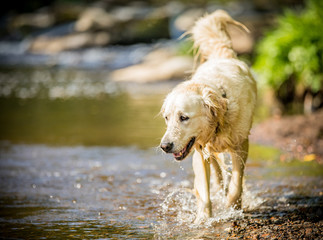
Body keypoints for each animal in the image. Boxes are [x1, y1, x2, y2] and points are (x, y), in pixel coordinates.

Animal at [161, 9, 256, 223]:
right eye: (167, 118)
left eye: (184, 117)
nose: (164, 146)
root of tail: (222, 54)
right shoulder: (198, 151)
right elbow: (204, 191)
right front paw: (203, 219)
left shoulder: (241, 145)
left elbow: (236, 183)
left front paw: (232, 206)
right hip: (208, 152)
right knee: (216, 174)